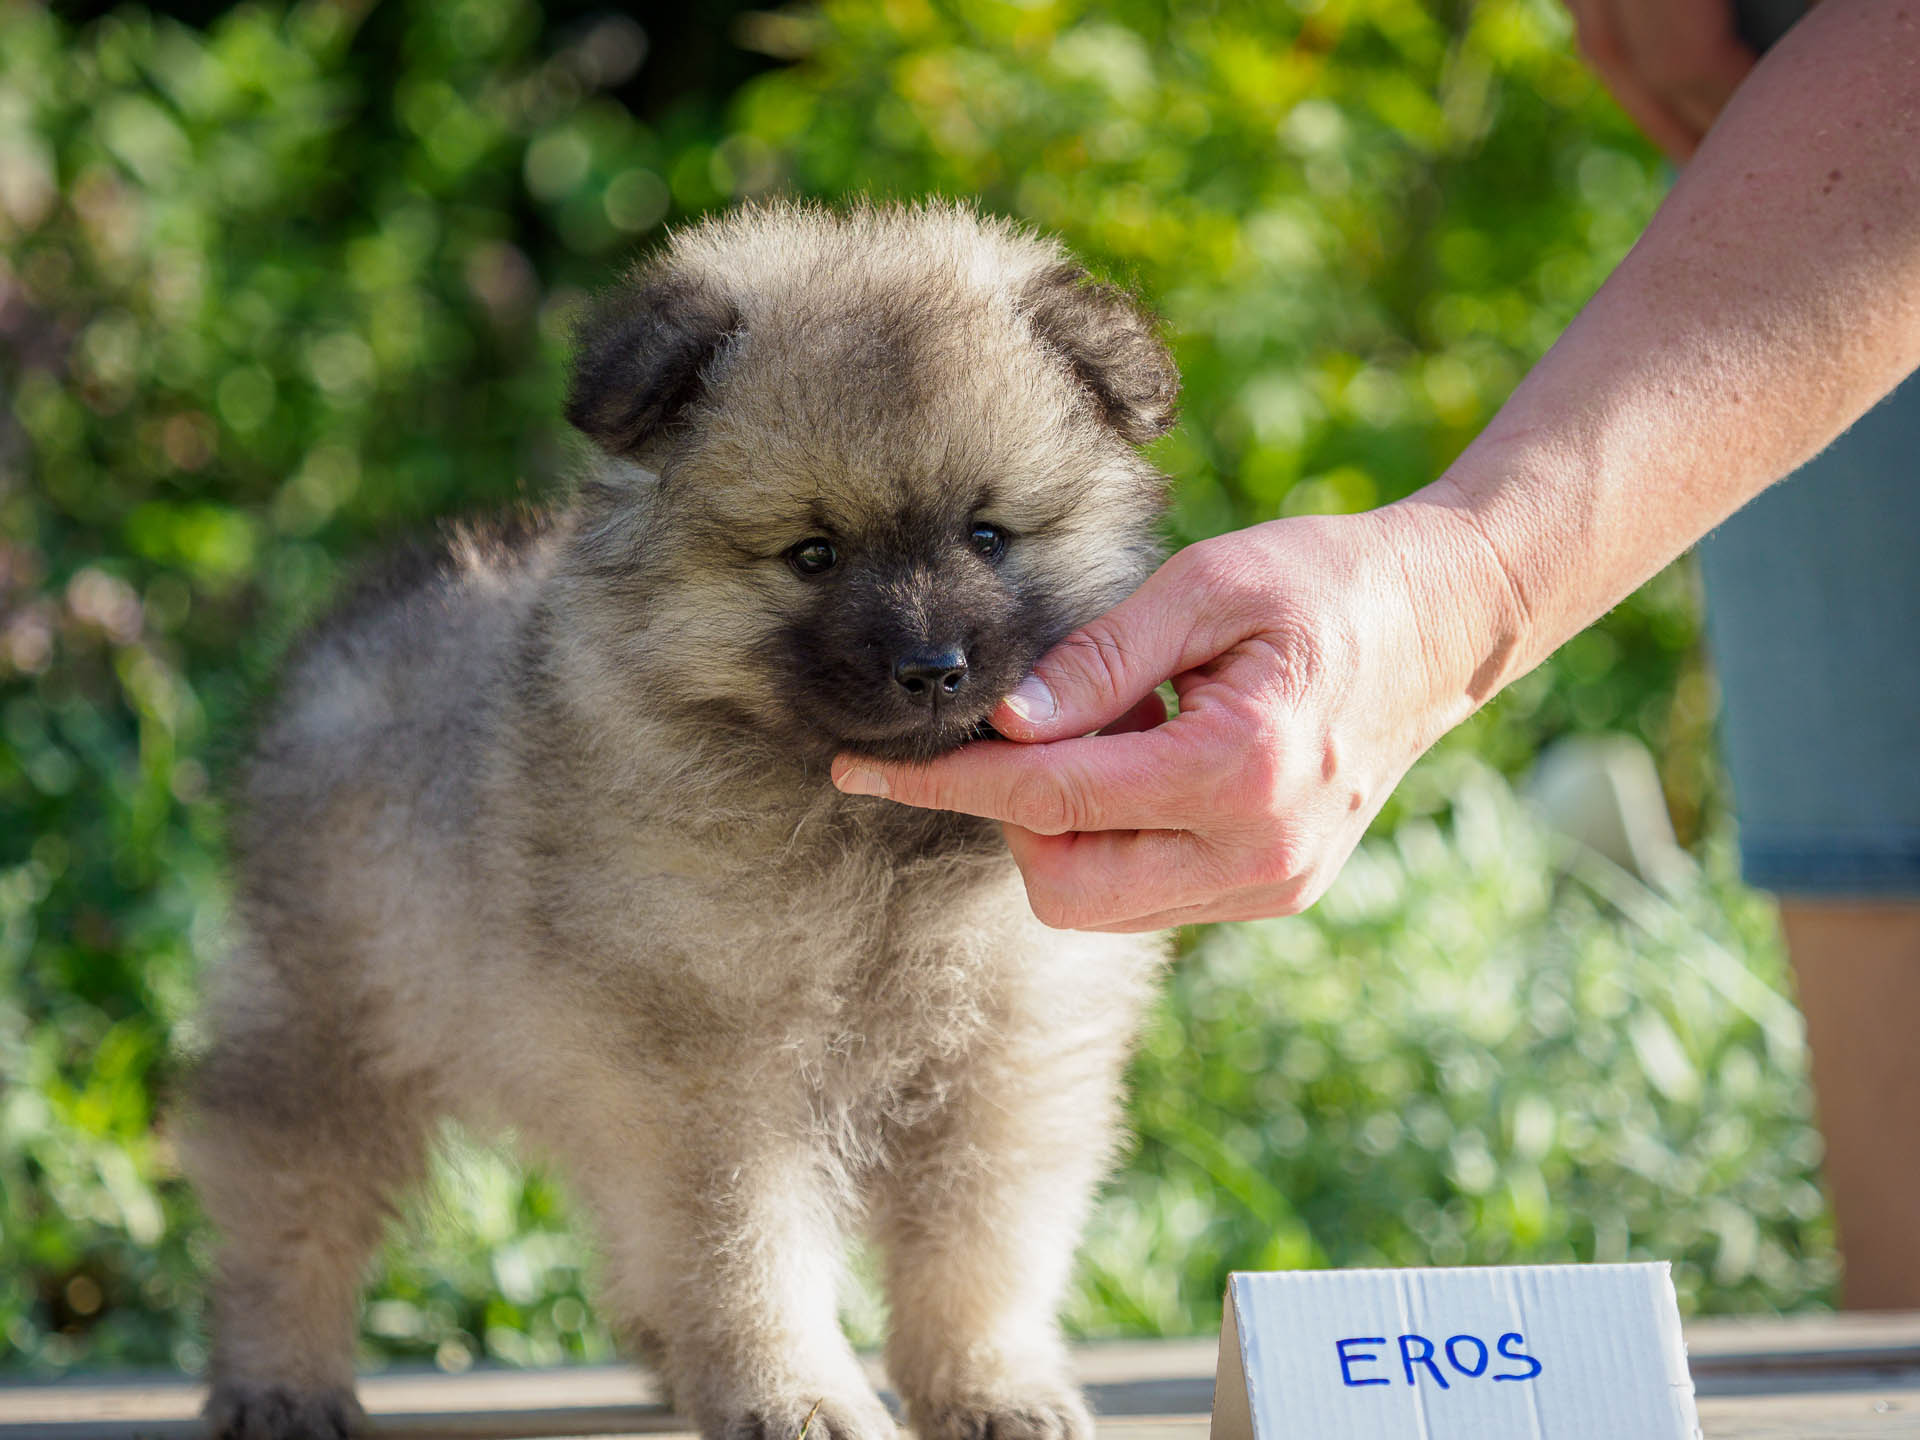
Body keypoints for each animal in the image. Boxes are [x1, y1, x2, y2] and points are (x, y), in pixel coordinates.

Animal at [183, 200, 1167, 1440]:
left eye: (986, 536)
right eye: (813, 554)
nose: (932, 667)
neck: (867, 837)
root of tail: (351, 628)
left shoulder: (1005, 1061)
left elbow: (978, 1250)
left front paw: (990, 1386)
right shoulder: (709, 1077)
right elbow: (745, 1253)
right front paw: (794, 1395)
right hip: (331, 1025)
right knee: (283, 1210)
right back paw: (277, 1379)